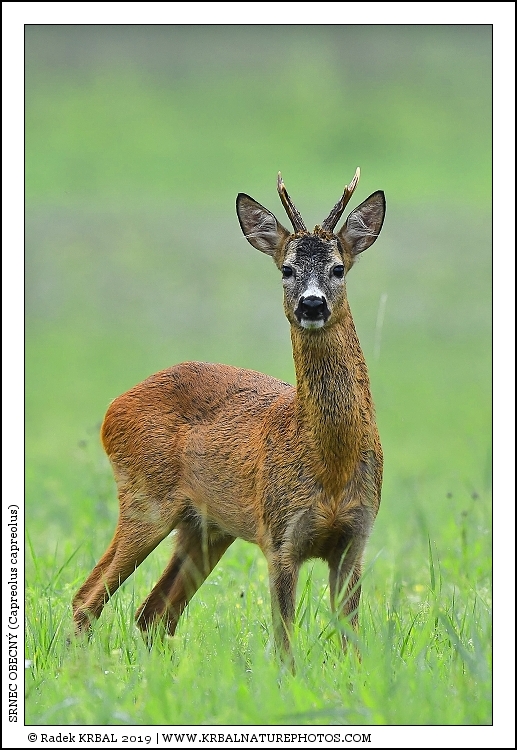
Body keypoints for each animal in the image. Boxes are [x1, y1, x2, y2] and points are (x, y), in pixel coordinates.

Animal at [72, 168, 386, 665]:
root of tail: (112, 409)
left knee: (153, 611)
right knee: (88, 597)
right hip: (144, 500)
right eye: (286, 269)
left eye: (338, 268)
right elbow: (285, 643)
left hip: (206, 527)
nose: (312, 304)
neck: (330, 464)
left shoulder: (355, 538)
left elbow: (351, 642)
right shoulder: (279, 537)